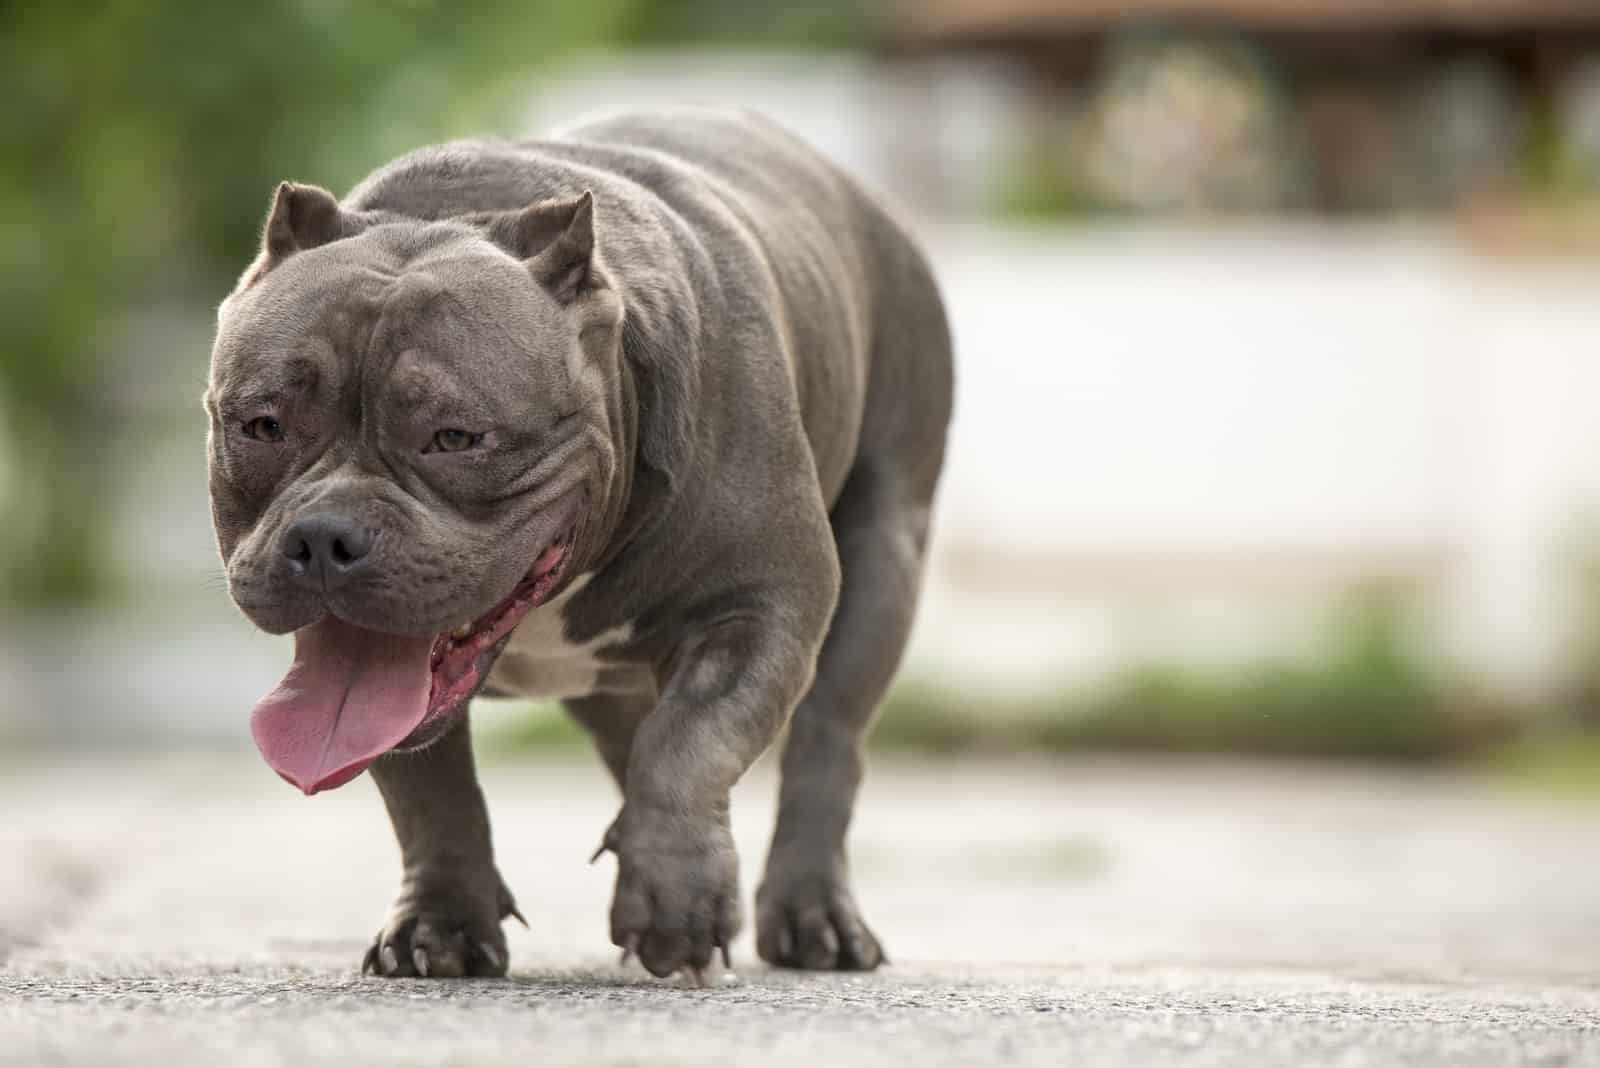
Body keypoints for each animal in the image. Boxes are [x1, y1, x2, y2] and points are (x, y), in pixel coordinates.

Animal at [203, 106, 947, 978]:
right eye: (262, 425)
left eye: (456, 438)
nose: (323, 536)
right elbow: (430, 792)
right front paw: (440, 924)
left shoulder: (761, 604)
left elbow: (691, 741)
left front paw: (675, 901)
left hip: (884, 553)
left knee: (826, 741)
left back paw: (812, 914)